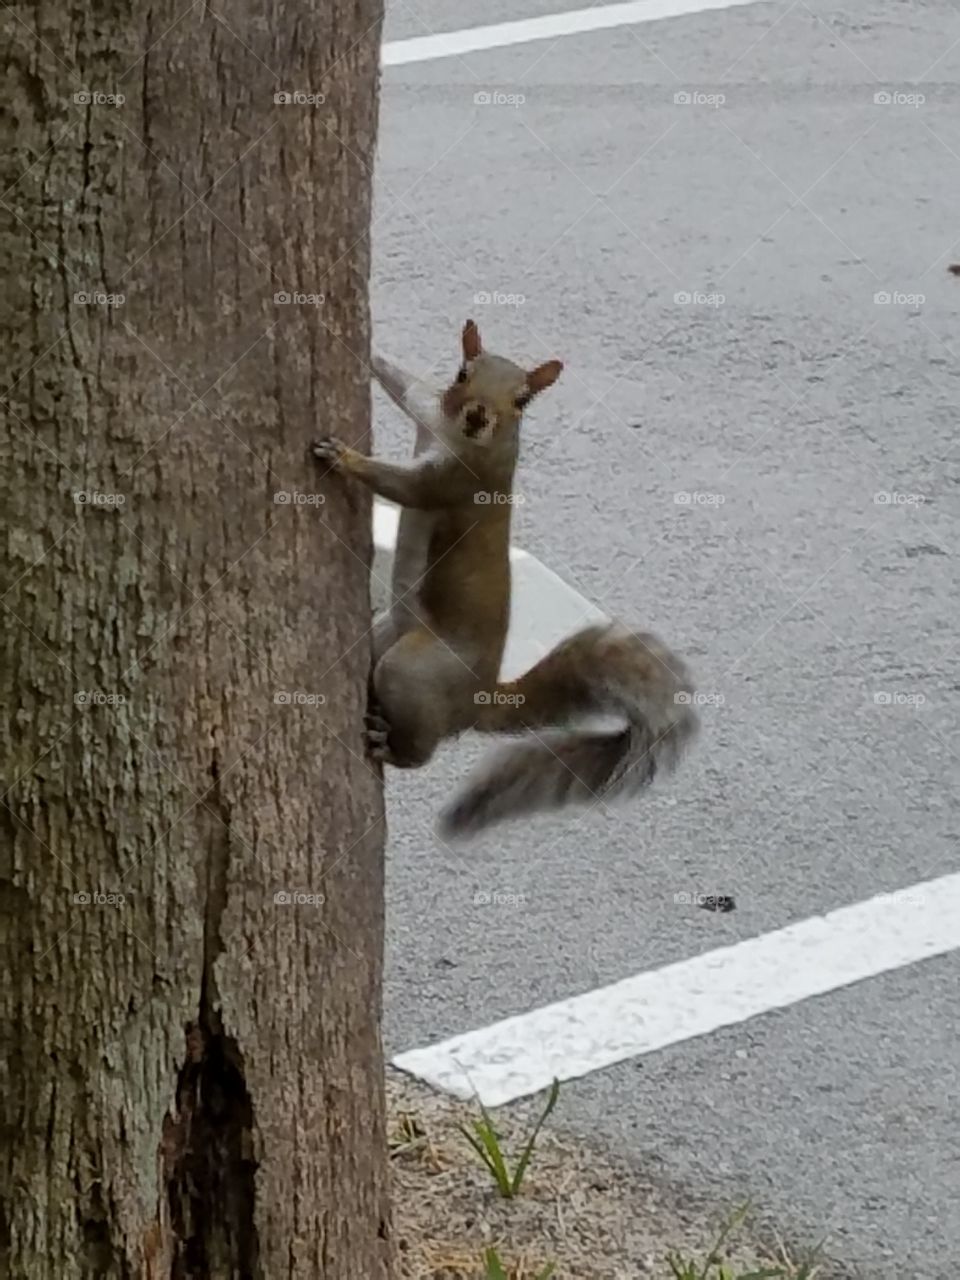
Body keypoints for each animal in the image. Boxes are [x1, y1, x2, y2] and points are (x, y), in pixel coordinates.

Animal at [311, 320, 699, 839]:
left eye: (523, 400)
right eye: (462, 372)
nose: (478, 416)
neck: (461, 437)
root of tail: (479, 700)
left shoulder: (456, 480)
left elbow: (402, 485)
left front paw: (345, 458)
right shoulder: (427, 409)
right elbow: (401, 382)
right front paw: (371, 352)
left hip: (413, 670)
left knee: (419, 746)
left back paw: (388, 745)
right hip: (386, 635)